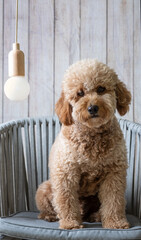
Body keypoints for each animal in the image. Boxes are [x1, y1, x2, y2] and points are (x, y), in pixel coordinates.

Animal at [35, 59, 131, 230]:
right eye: (79, 93)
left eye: (101, 89)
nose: (92, 108)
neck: (92, 135)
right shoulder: (66, 173)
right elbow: (66, 200)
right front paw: (70, 223)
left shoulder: (114, 174)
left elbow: (114, 201)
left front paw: (115, 223)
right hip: (44, 189)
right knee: (51, 206)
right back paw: (50, 216)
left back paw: (95, 216)